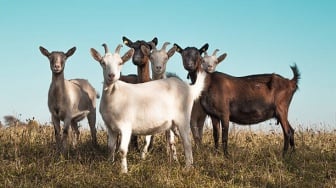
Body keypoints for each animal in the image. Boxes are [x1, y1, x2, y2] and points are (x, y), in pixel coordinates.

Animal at [89, 43, 205, 173]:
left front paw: (124, 172)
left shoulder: (126, 126)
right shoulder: (111, 128)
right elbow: (110, 148)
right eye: (103, 62)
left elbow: (122, 150)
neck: (114, 94)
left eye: (120, 62)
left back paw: (188, 168)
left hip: (183, 118)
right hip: (173, 123)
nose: (111, 76)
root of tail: (188, 88)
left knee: (187, 142)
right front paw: (110, 166)